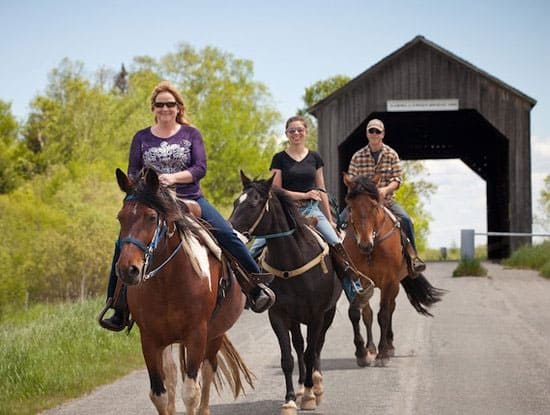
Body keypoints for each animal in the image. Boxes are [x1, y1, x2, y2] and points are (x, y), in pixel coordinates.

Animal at [116, 169, 256, 415]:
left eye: (151, 217)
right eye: (120, 218)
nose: (128, 269)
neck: (166, 282)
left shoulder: (196, 334)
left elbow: (191, 392)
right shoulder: (149, 339)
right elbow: (160, 394)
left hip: (214, 334)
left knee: (208, 370)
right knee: (172, 375)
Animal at [227, 171, 340, 415]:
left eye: (253, 203)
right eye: (235, 202)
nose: (229, 232)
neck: (294, 258)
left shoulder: (317, 315)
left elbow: (311, 351)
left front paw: (309, 396)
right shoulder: (278, 314)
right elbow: (288, 358)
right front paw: (290, 400)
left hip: (329, 312)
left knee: (317, 346)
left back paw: (316, 386)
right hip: (295, 318)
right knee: (298, 344)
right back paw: (301, 387)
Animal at [342, 172, 446, 368]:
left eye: (374, 205)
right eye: (350, 206)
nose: (365, 245)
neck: (373, 247)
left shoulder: (389, 280)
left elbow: (383, 314)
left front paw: (383, 354)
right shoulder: (359, 280)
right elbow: (358, 313)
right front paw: (363, 353)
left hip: (395, 285)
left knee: (390, 308)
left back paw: (389, 346)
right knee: (370, 313)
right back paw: (371, 348)